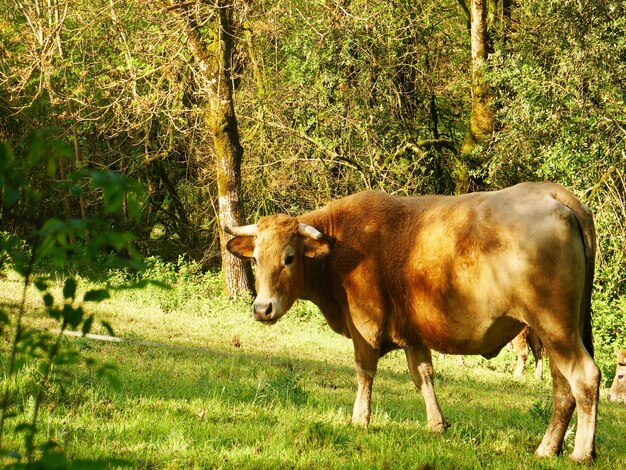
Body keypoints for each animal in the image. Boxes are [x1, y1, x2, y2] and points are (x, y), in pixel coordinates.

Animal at [225, 182, 600, 460]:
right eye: (255, 258)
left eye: (289, 258)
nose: (262, 308)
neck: (340, 245)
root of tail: (555, 194)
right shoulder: (413, 331)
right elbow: (423, 376)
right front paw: (437, 424)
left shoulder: (365, 324)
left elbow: (364, 372)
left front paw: (360, 419)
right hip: (558, 330)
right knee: (562, 387)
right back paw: (550, 449)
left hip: (554, 325)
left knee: (584, 377)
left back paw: (579, 453)